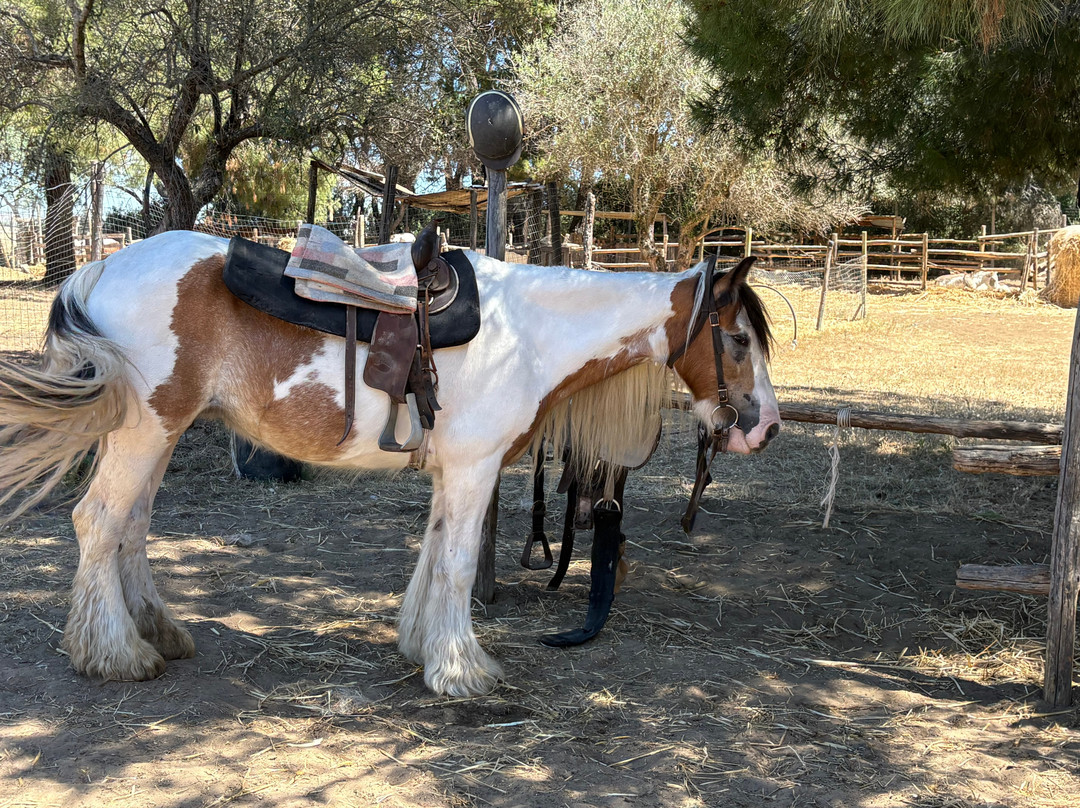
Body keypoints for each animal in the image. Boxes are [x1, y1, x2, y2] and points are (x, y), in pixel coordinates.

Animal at [0, 229, 779, 697]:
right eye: (738, 339)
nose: (765, 428)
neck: (529, 333)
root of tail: (101, 266)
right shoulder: (474, 469)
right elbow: (458, 565)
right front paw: (463, 669)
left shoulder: (454, 472)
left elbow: (432, 556)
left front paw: (421, 644)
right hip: (145, 430)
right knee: (99, 521)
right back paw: (113, 653)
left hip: (155, 436)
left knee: (130, 527)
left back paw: (155, 631)